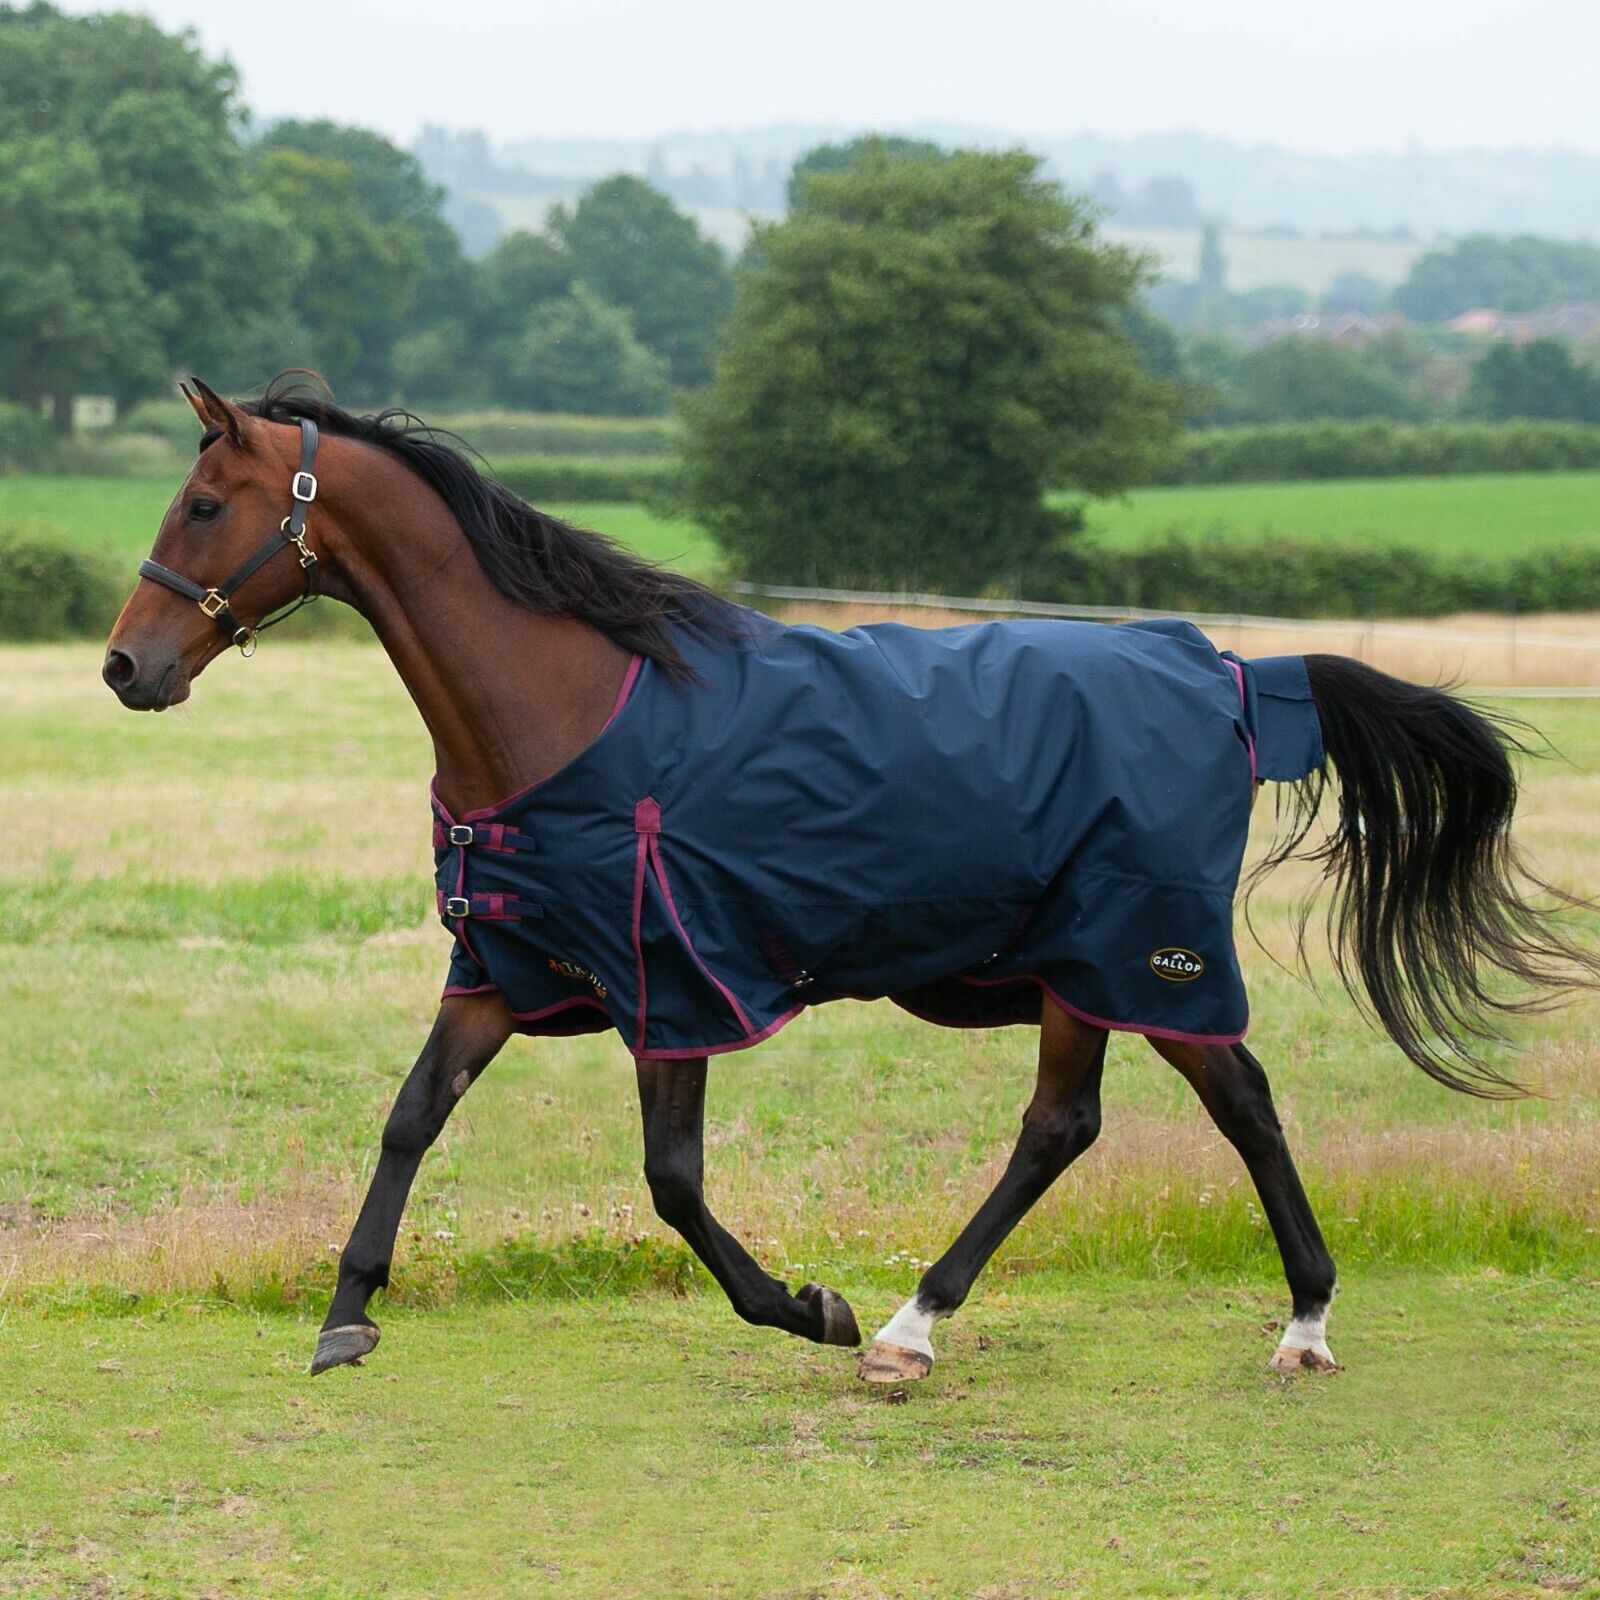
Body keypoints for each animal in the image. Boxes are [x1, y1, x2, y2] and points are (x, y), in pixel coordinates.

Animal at [103, 376, 1597, 1384]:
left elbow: (671, 1181)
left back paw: (978, 1324)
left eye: (206, 502)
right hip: (1087, 967)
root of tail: (1229, 672)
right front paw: (347, 1313)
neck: (563, 706)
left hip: (1126, 953)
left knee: (1167, 1112)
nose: (128, 666)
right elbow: (412, 1116)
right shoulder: (505, 967)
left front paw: (804, 1307)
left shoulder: (674, 983)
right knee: (1121, 1118)